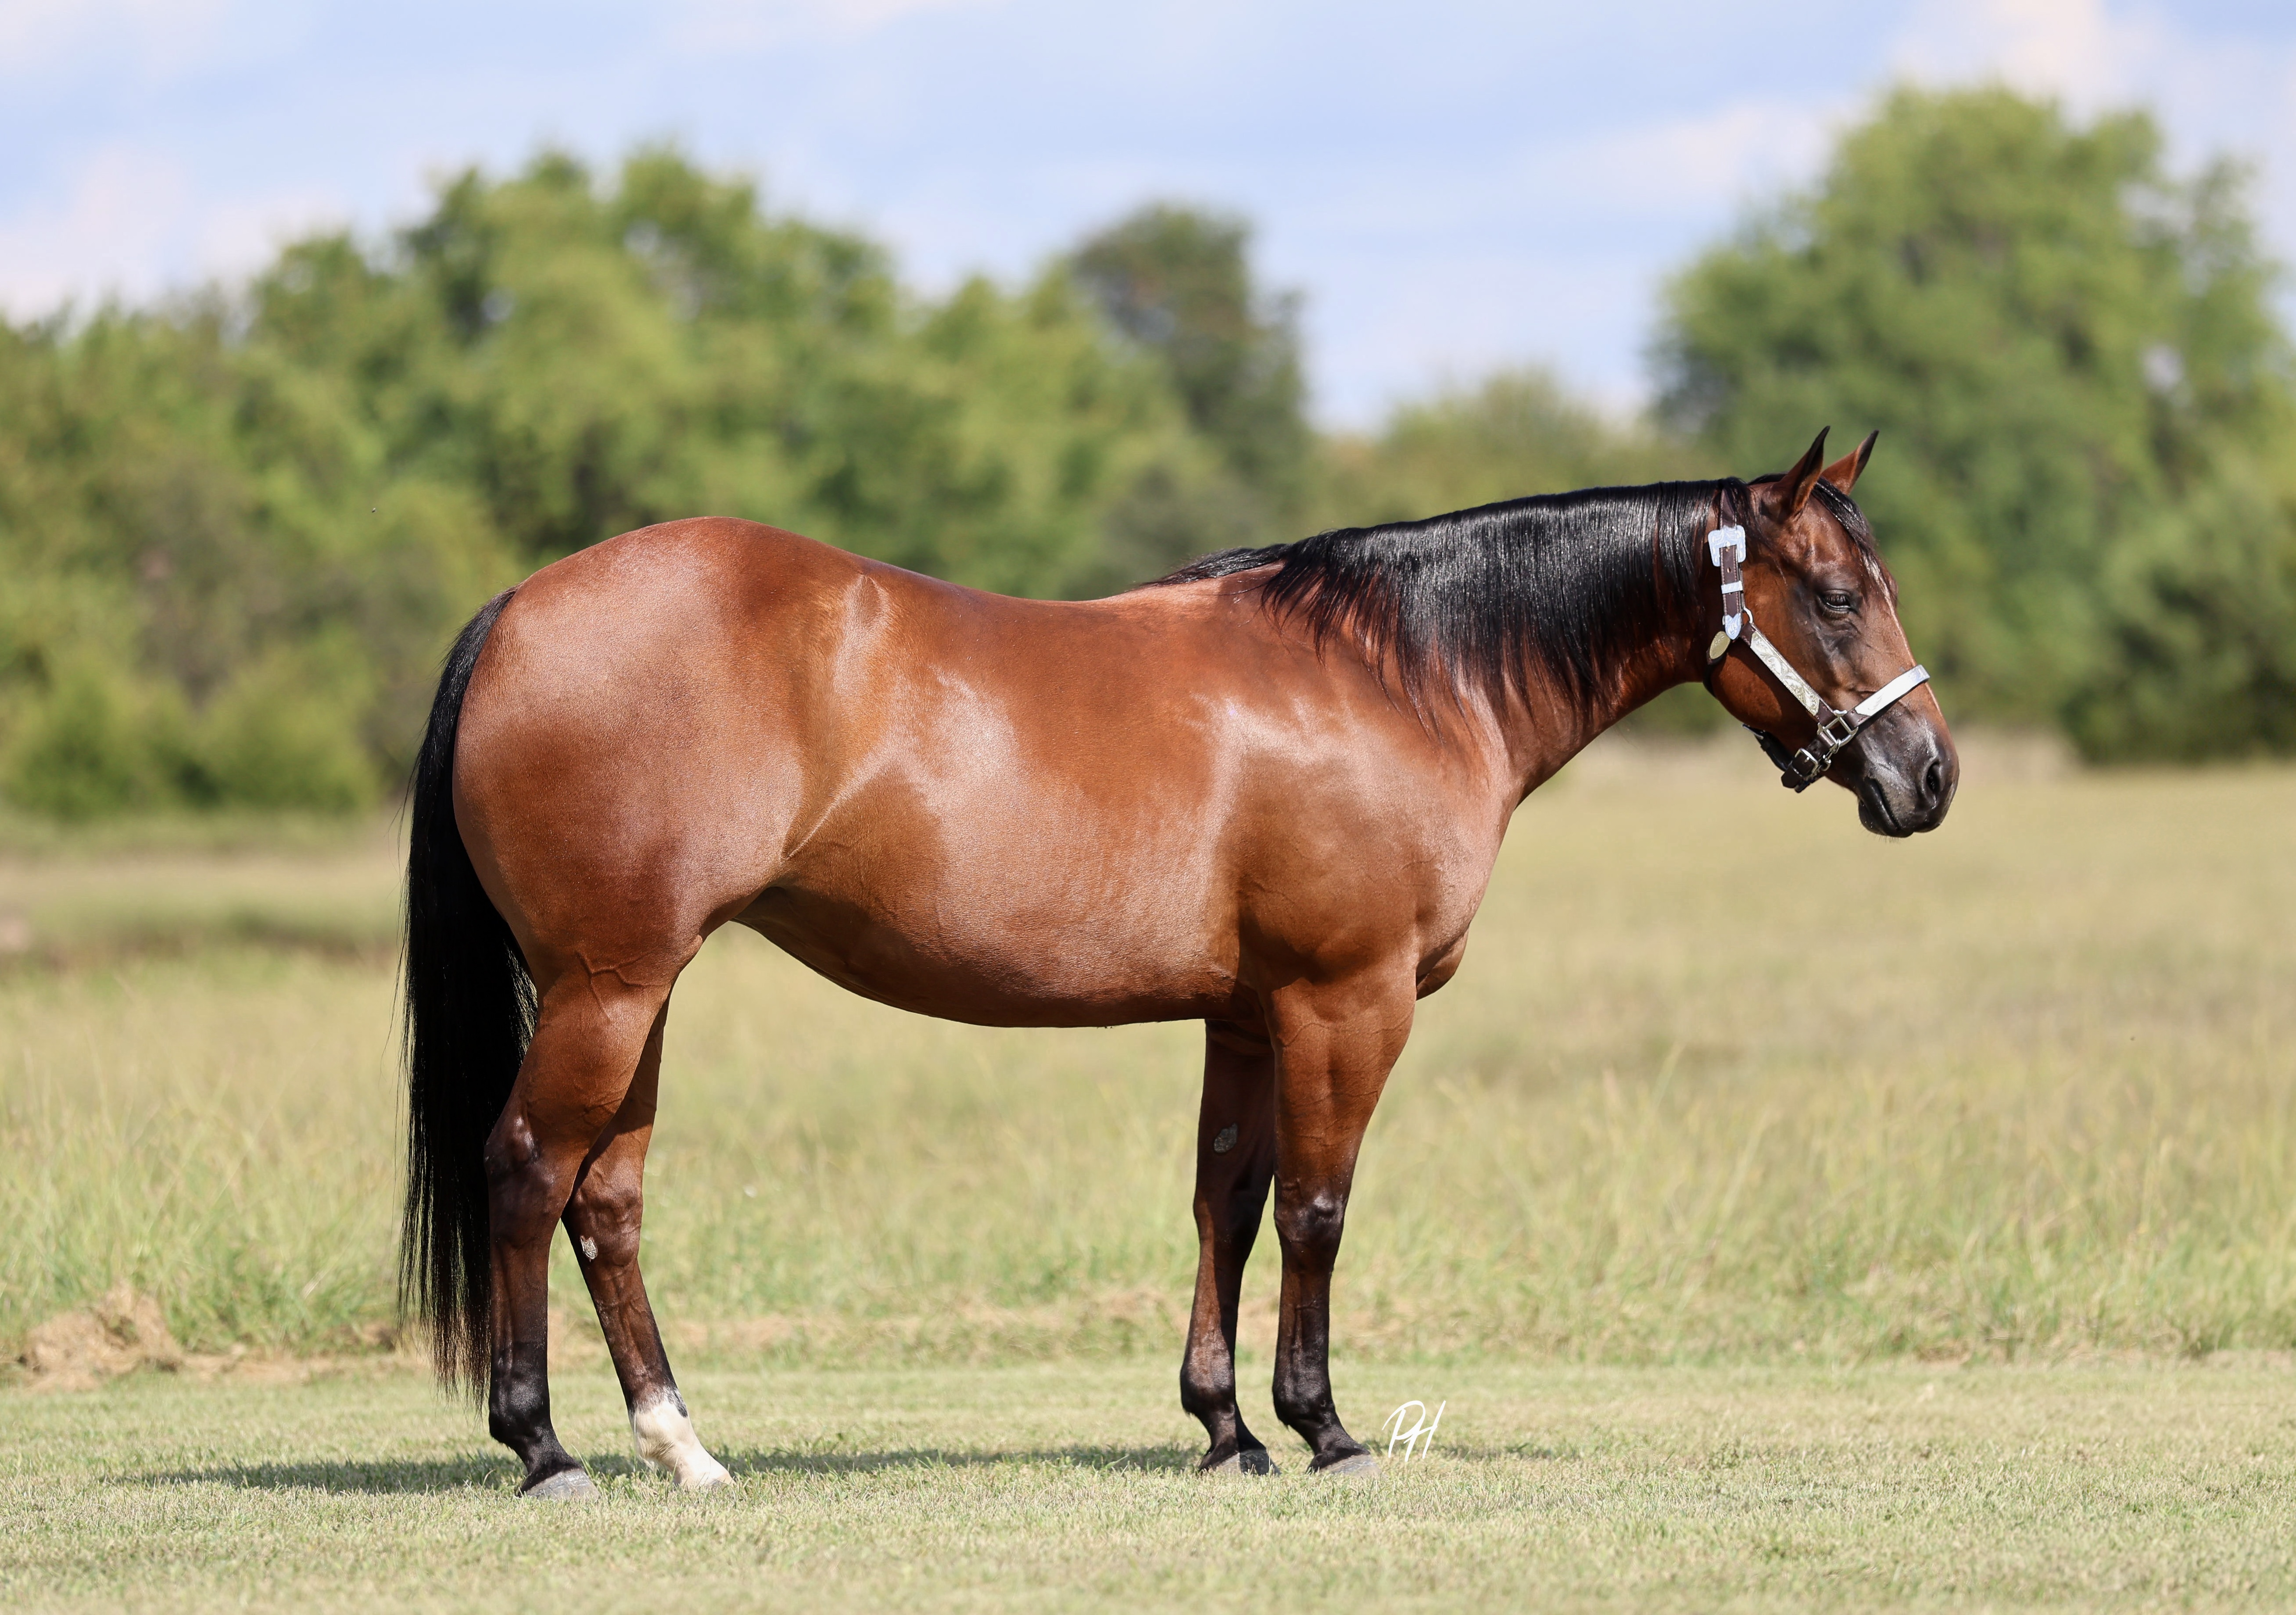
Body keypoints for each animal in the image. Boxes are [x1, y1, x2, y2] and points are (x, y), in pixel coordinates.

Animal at [400, 427, 1955, 1498]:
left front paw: (1225, 1430)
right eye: (1832, 596)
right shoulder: (1345, 1002)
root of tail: (521, 608)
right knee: (528, 1171)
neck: (1397, 679)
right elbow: (1319, 1211)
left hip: (640, 990)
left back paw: (684, 1448)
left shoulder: (1249, 1016)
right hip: (606, 987)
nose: (1928, 777)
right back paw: (544, 1452)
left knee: (607, 1200)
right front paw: (1325, 1429)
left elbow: (1228, 1203)